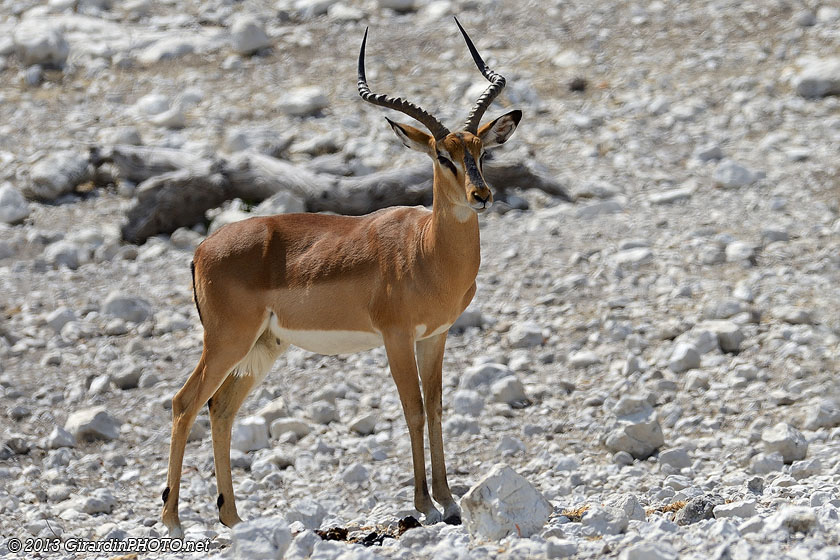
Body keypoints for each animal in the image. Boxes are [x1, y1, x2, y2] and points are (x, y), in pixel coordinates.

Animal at [161, 18, 522, 537]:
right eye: (441, 156)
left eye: (480, 152)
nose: (482, 195)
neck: (425, 250)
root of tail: (200, 250)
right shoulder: (396, 337)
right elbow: (413, 410)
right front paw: (426, 505)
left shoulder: (435, 336)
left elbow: (435, 408)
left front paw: (450, 501)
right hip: (226, 341)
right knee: (184, 402)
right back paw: (172, 522)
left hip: (263, 346)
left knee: (221, 408)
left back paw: (233, 518)